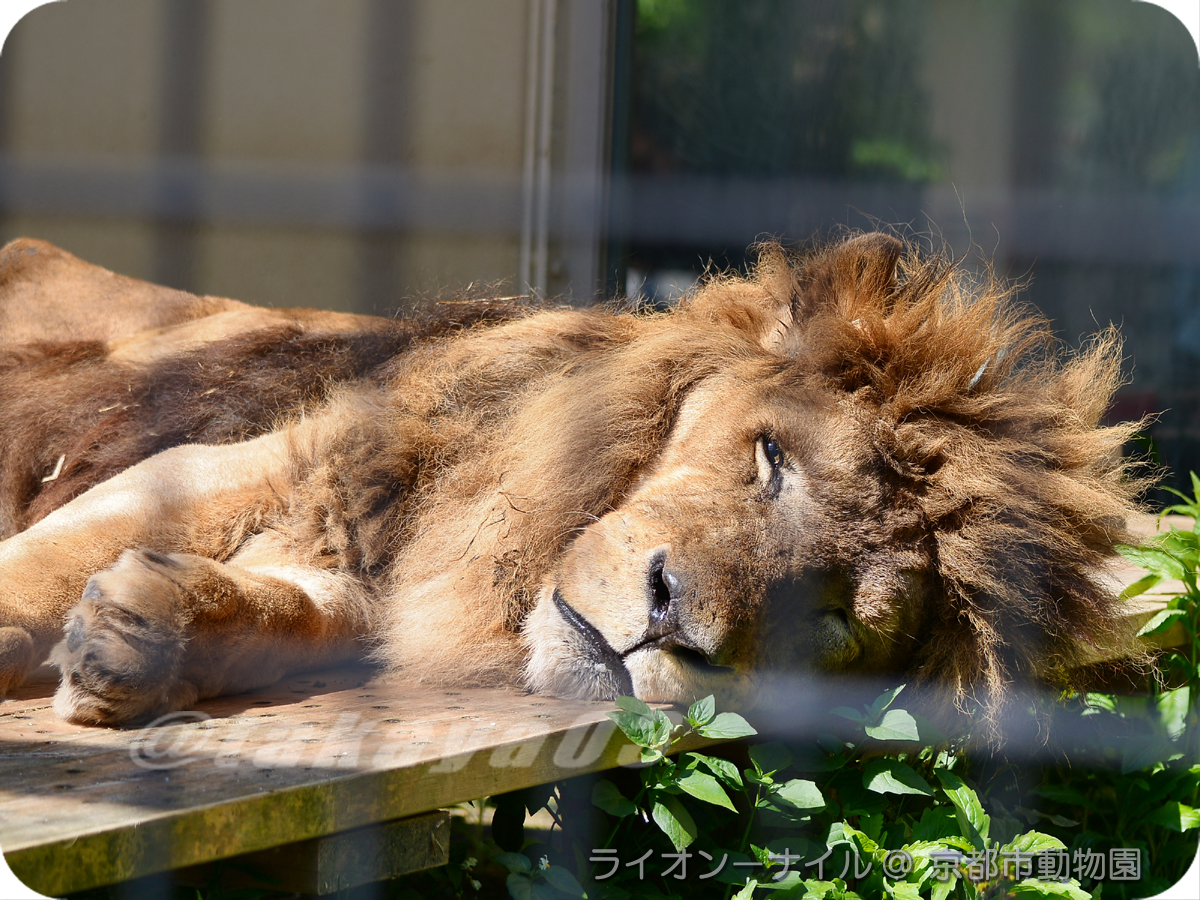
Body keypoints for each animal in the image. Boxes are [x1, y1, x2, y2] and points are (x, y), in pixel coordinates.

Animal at [0, 232, 1145, 729]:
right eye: (773, 458)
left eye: (837, 624)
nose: (671, 621)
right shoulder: (260, 465)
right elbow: (39, 568)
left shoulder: (374, 592)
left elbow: (283, 619)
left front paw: (140, 634)